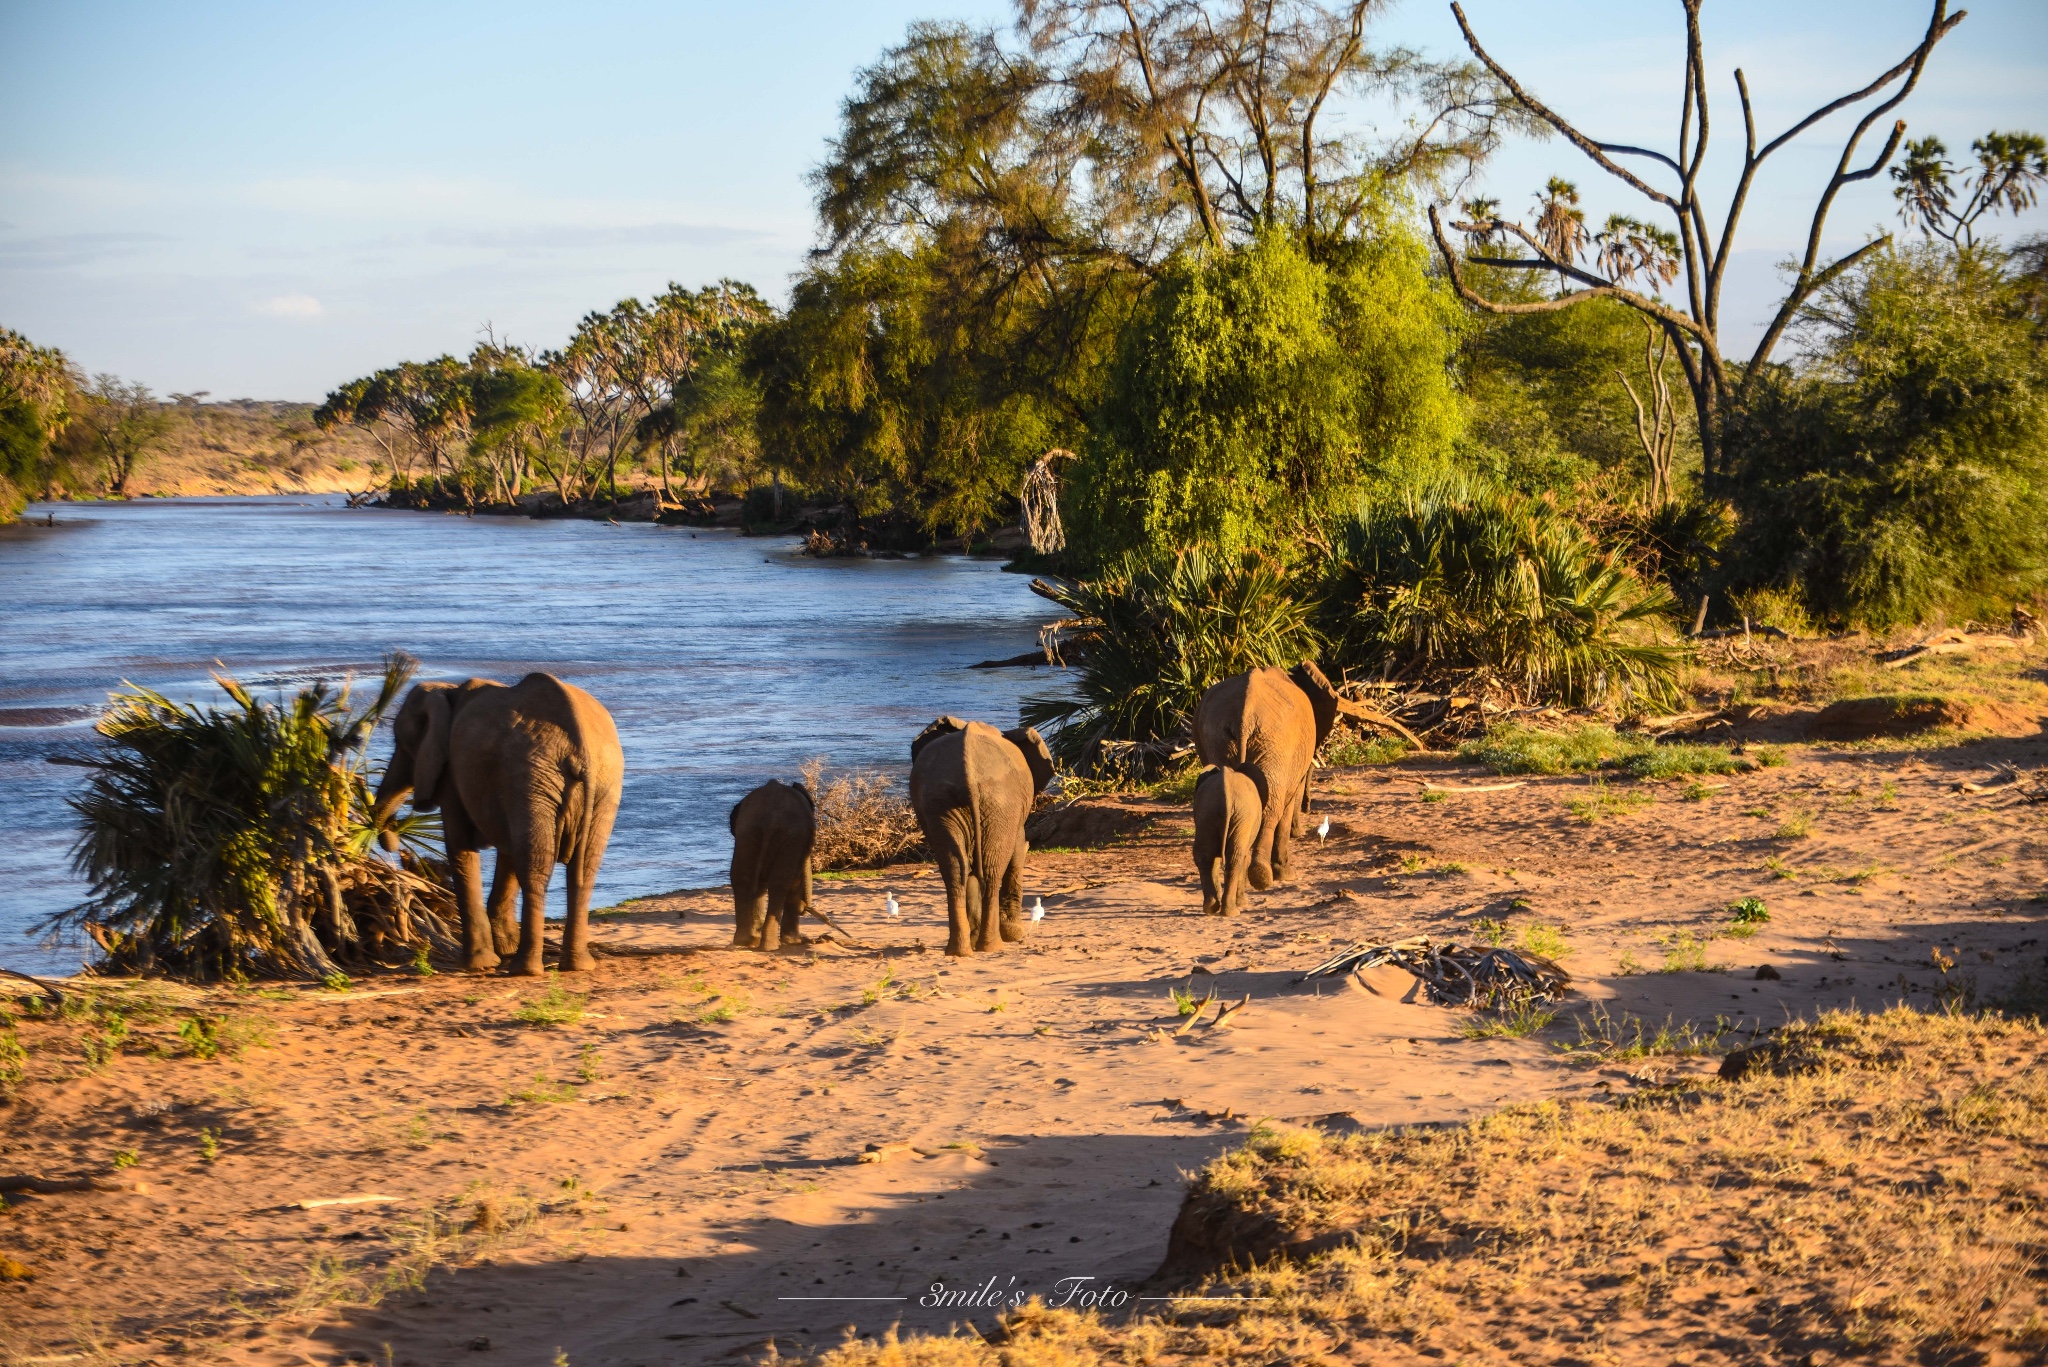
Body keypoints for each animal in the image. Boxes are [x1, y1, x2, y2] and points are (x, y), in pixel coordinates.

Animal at [370, 672, 618, 971]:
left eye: (400, 741)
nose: (394, 844)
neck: (448, 691)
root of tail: (579, 744)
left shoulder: (453, 773)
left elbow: (460, 848)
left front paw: (479, 964)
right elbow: (507, 849)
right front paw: (502, 951)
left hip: (531, 776)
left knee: (535, 868)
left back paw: (523, 969)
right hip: (600, 784)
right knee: (584, 869)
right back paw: (577, 965)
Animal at [724, 778, 811, 950]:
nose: (804, 909)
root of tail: (770, 819)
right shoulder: (798, 841)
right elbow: (795, 880)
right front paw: (794, 941)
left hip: (748, 832)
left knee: (743, 878)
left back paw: (746, 941)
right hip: (787, 836)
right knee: (781, 883)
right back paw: (771, 945)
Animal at [913, 721, 1056, 959]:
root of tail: (968, 773)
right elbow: (1018, 849)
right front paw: (1013, 934)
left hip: (943, 803)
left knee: (956, 871)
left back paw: (960, 951)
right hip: (1000, 803)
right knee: (991, 871)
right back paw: (992, 946)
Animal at [1187, 659, 1343, 893]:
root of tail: (1244, 714)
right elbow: (1287, 804)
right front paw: (1286, 872)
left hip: (1222, 738)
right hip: (1275, 742)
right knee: (1271, 808)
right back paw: (1263, 877)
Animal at [1187, 766, 1261, 914]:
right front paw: (1242, 903)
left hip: (1210, 812)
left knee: (1204, 855)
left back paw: (1212, 908)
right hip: (1242, 816)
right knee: (1235, 857)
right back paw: (1230, 911)